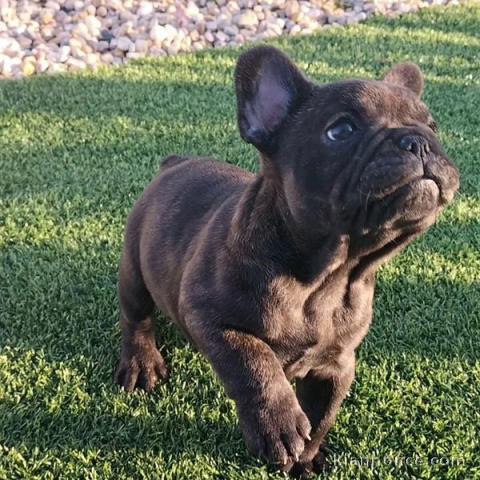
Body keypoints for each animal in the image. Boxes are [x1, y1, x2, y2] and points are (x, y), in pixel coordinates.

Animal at [114, 47, 460, 476]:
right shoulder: (210, 317)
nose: (418, 141)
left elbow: (322, 414)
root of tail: (174, 163)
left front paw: (307, 457)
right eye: (341, 131)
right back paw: (141, 363)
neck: (331, 275)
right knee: (136, 317)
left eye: (432, 126)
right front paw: (277, 427)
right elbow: (254, 363)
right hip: (134, 271)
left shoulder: (338, 364)